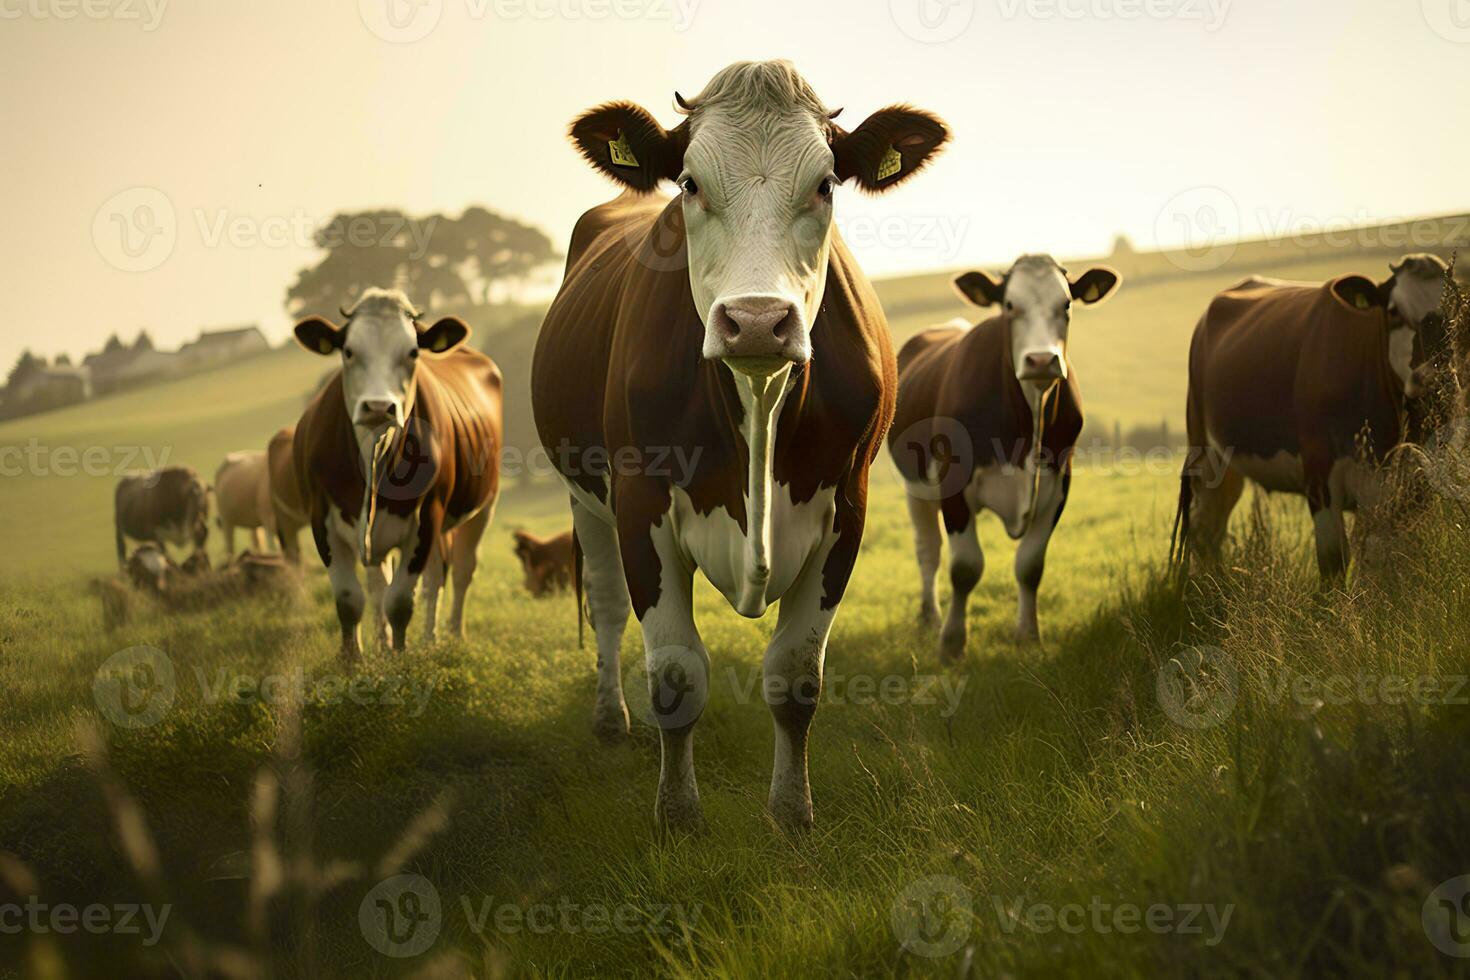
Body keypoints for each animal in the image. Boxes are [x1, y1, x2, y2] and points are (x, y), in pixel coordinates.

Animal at [286, 289, 505, 658]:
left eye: (413, 352)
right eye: (348, 351)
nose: (378, 406)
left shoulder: (427, 517)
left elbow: (400, 601)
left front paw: (401, 659)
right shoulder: (322, 518)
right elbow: (350, 600)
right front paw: (355, 659)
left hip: (483, 505)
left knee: (457, 573)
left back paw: (448, 635)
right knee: (393, 582)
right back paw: (392, 643)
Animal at [535, 59, 946, 828]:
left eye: (826, 184)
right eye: (690, 183)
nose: (756, 320)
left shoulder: (847, 508)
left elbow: (795, 678)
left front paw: (792, 814)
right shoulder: (640, 505)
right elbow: (674, 675)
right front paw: (677, 814)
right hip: (585, 498)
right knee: (604, 602)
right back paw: (609, 721)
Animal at [887, 257, 1117, 664]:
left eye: (1067, 304)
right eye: (1010, 306)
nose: (1041, 359)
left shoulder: (1059, 484)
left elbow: (1030, 566)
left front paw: (1029, 636)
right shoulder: (953, 480)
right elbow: (965, 568)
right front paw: (952, 643)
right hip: (916, 488)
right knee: (928, 551)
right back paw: (929, 616)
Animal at [1176, 251, 1452, 581]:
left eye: (1456, 306)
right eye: (1394, 311)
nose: (1430, 376)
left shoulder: (1412, 485)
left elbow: (1382, 557)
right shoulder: (1320, 472)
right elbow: (1334, 559)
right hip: (1207, 455)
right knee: (1204, 529)